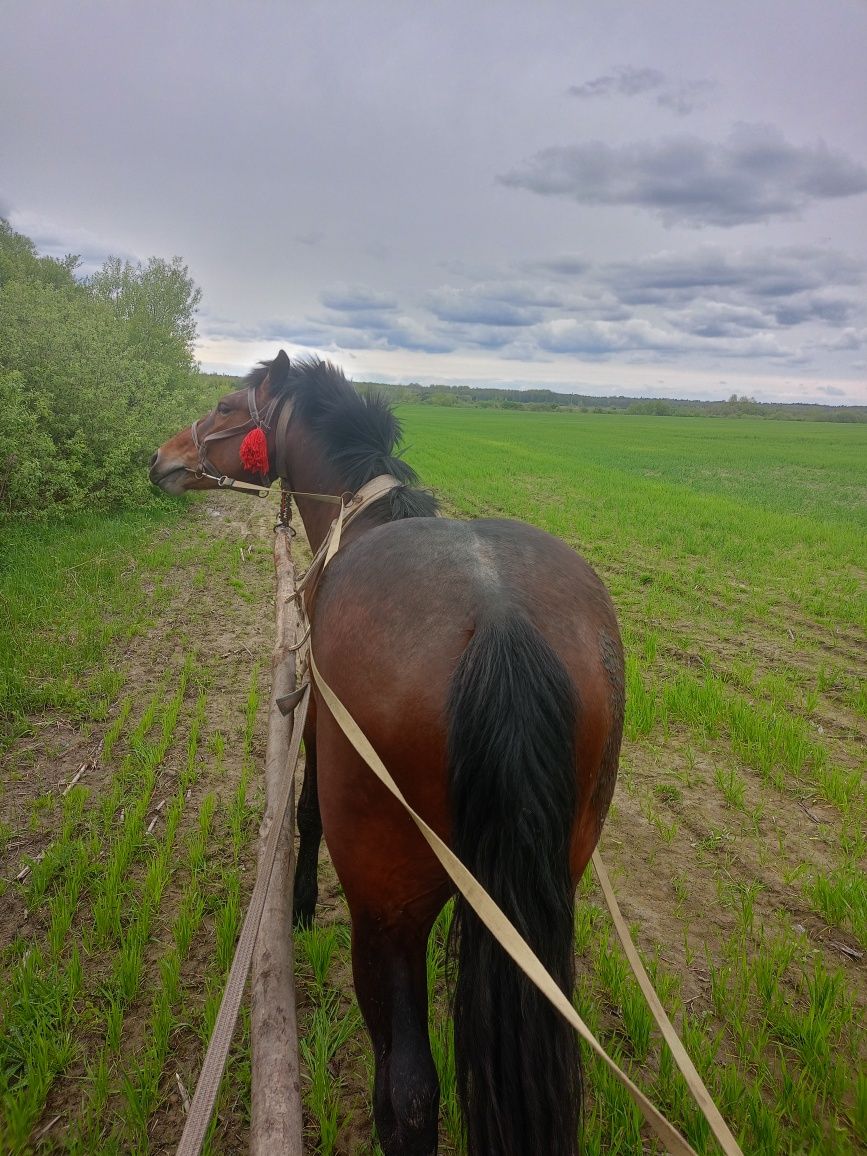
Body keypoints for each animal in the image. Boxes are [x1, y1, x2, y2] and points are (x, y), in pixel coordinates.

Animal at [149, 351, 624, 1156]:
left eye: (226, 406)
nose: (163, 459)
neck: (361, 516)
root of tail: (500, 625)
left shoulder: (314, 710)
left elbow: (305, 808)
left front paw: (301, 902)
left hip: (384, 906)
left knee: (406, 1093)